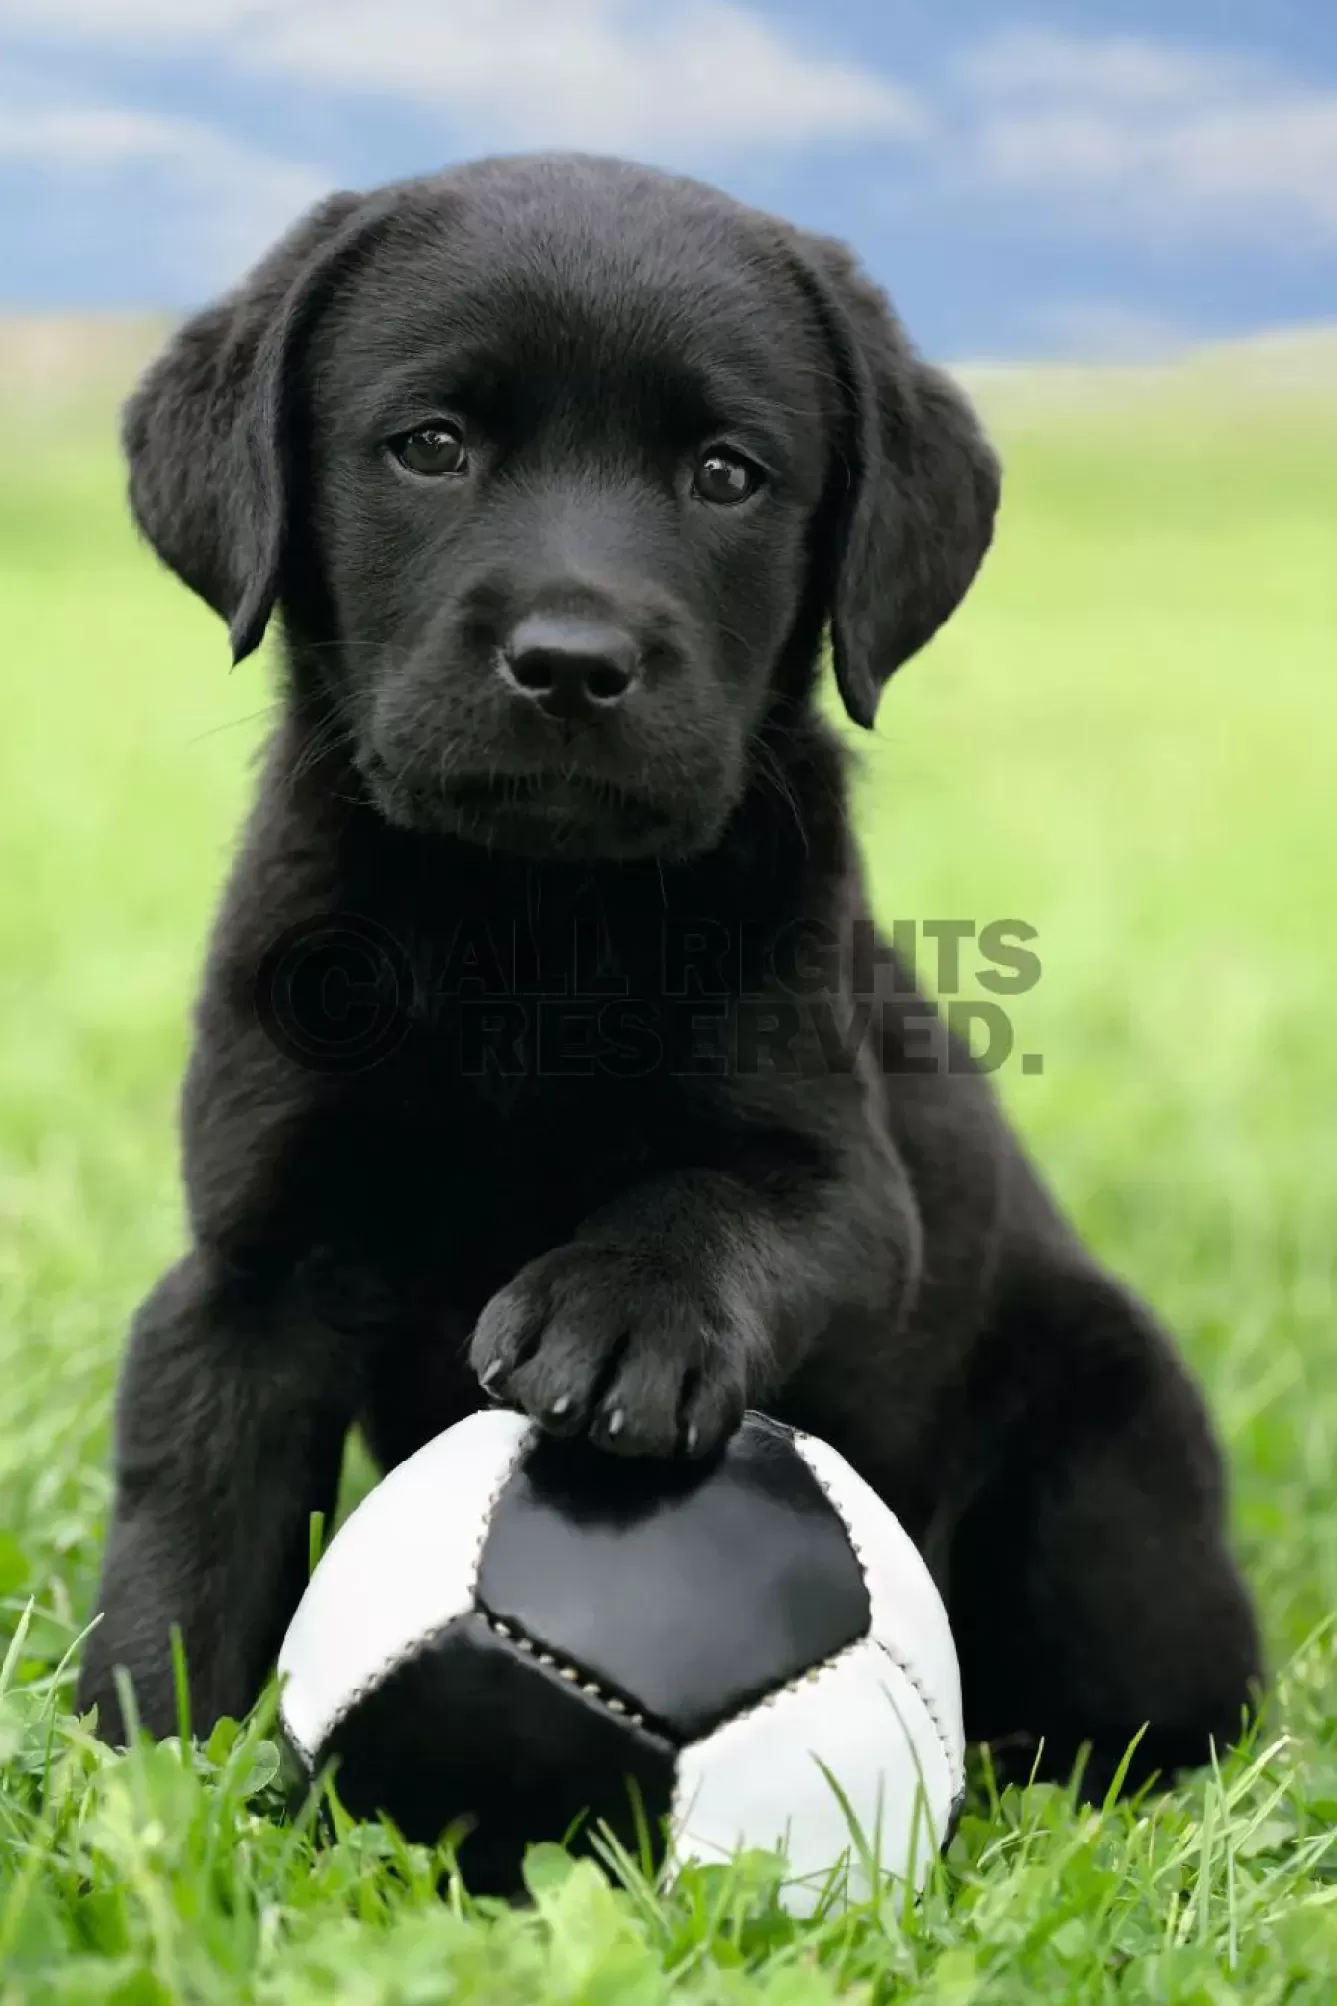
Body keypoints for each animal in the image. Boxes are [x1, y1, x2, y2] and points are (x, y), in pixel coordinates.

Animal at [78, 152, 1258, 1789]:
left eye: (725, 474)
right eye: (430, 446)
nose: (573, 661)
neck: (523, 918)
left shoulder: (855, 1194)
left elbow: (724, 1195)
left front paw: (622, 1310)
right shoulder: (253, 1259)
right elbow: (190, 1524)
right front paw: (136, 1768)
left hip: (1111, 1449)